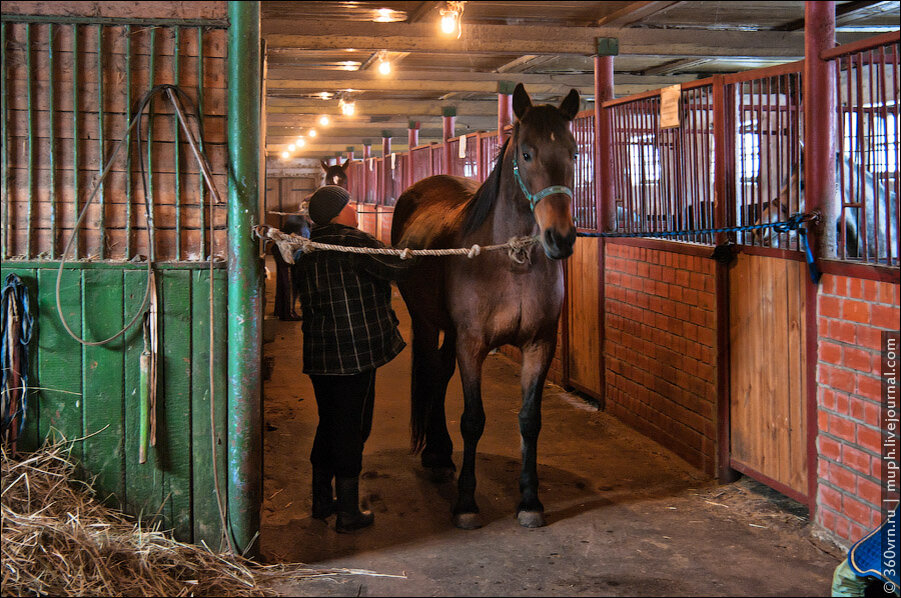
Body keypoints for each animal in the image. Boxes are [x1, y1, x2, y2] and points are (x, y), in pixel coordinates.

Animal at [392, 83, 576, 528]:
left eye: (574, 152)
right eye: (526, 153)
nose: (560, 238)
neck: (511, 261)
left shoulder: (539, 345)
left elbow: (529, 420)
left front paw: (529, 500)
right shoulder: (472, 344)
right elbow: (473, 420)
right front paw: (466, 503)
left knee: (440, 374)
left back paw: (440, 454)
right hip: (428, 323)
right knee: (431, 372)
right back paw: (436, 457)